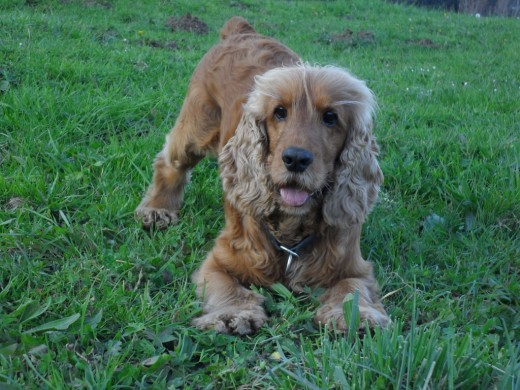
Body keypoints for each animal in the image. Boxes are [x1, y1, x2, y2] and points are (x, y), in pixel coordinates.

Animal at [136, 17, 388, 336]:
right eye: (279, 112)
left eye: (330, 117)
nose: (296, 159)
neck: (291, 232)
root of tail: (242, 30)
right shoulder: (218, 259)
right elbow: (227, 285)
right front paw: (233, 314)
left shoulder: (355, 265)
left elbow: (353, 287)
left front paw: (359, 316)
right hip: (197, 124)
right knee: (170, 161)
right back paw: (157, 210)